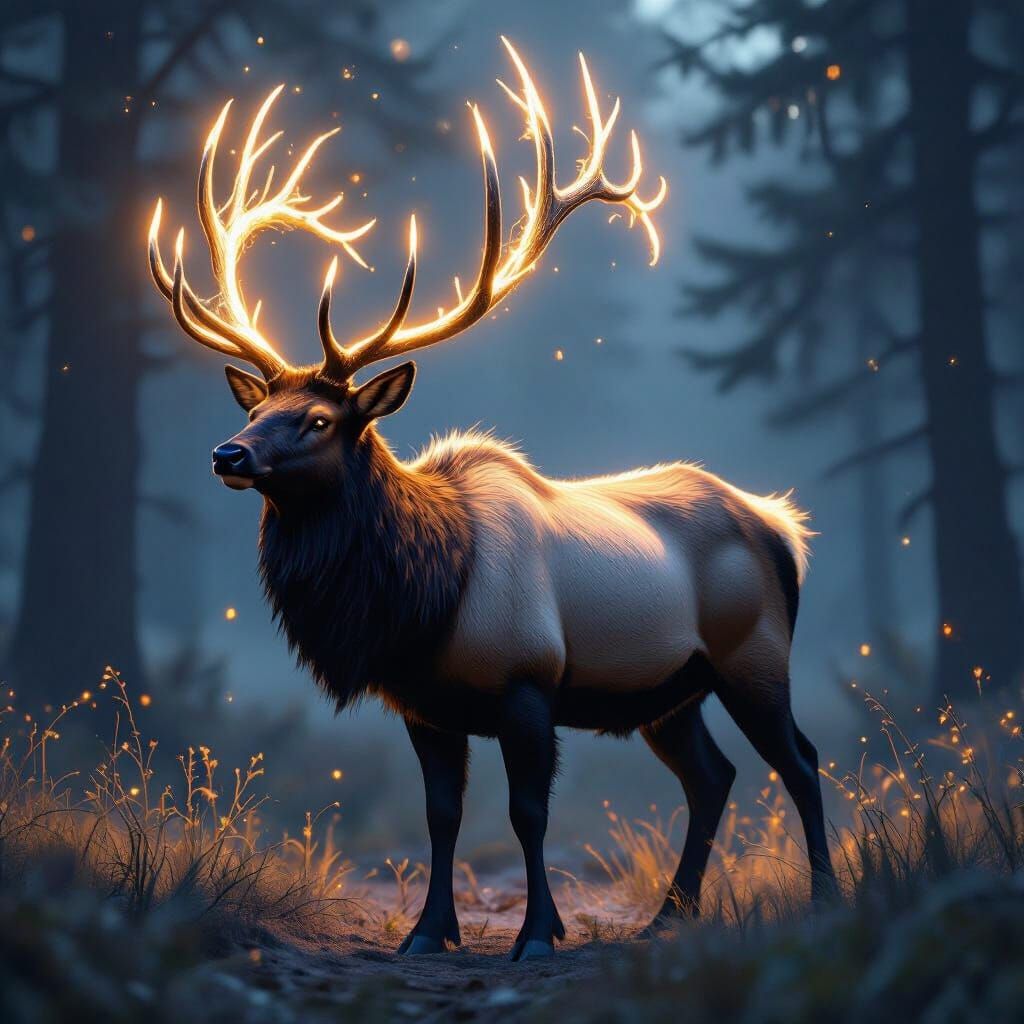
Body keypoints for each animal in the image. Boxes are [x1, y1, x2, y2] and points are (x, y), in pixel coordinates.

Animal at [147, 39, 838, 961]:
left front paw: (537, 934)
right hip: (670, 689)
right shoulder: (424, 704)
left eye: (320, 419)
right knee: (713, 775)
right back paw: (668, 916)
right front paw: (426, 933)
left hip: (753, 655)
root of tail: (783, 527)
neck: (421, 598)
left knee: (799, 760)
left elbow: (527, 814)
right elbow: (442, 817)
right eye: (255, 411)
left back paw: (824, 899)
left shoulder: (527, 683)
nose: (227, 453)